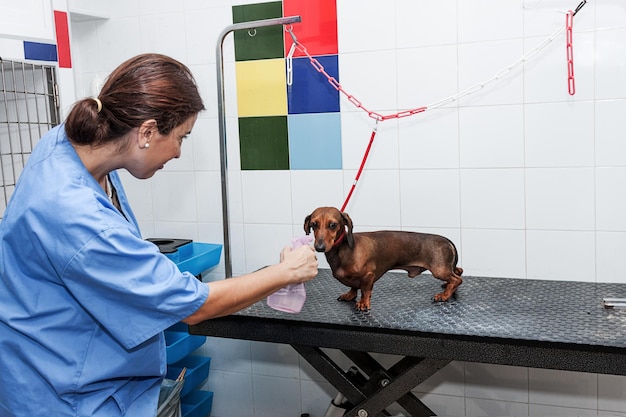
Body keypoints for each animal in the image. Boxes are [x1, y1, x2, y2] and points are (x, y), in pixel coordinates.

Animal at [304, 206, 460, 310]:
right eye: (313, 224)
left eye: (333, 224)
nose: (320, 247)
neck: (344, 250)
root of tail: (447, 241)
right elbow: (354, 287)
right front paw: (350, 295)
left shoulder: (368, 275)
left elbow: (365, 290)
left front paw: (363, 303)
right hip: (446, 268)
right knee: (458, 271)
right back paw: (447, 287)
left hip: (439, 270)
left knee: (457, 279)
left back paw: (444, 295)